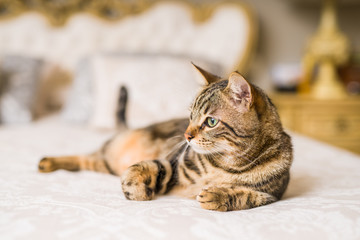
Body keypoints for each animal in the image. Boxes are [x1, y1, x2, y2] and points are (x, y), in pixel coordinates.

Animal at [38, 64, 292, 212]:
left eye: (210, 122)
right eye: (190, 116)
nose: (187, 136)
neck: (225, 164)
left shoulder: (272, 194)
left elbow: (246, 195)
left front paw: (218, 195)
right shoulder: (172, 163)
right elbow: (139, 169)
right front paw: (137, 191)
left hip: (105, 164)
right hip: (110, 155)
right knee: (85, 155)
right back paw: (47, 162)